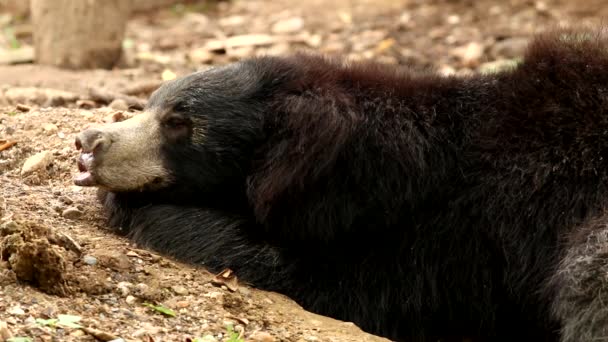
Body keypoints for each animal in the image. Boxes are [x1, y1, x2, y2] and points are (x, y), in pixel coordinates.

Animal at [72, 26, 608, 342]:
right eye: (149, 106)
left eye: (178, 123)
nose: (89, 142)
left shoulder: (460, 233)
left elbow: (352, 287)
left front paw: (135, 206)